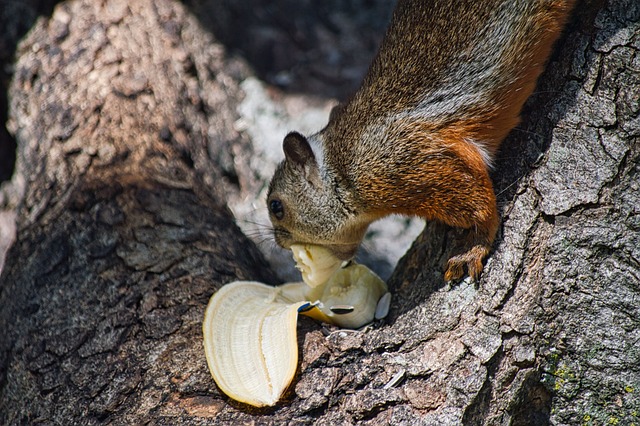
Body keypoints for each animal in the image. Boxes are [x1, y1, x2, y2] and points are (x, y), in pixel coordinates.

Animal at [264, 0, 576, 282]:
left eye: (276, 207)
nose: (278, 242)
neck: (342, 166)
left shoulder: (409, 162)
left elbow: (478, 205)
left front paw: (473, 249)